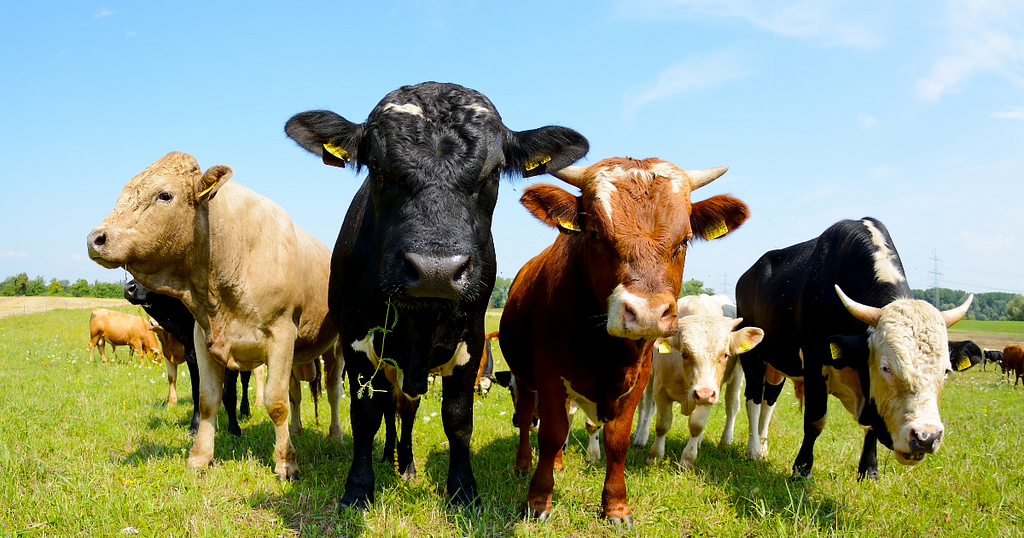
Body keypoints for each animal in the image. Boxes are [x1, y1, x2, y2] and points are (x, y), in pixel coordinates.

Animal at [123, 278, 253, 434]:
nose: (128, 288)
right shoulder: (192, 356)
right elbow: (197, 392)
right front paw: (195, 426)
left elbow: (230, 394)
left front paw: (234, 428)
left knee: (245, 382)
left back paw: (245, 411)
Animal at [284, 80, 589, 508]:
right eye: (377, 167)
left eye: (494, 171)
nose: (435, 270)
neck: (421, 322)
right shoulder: (356, 339)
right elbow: (366, 415)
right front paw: (358, 488)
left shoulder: (472, 342)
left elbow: (458, 419)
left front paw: (462, 489)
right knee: (391, 408)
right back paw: (390, 457)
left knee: (407, 409)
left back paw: (406, 464)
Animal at [499, 157, 749, 524]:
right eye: (594, 233)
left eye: (685, 240)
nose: (647, 313)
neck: (603, 346)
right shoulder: (548, 372)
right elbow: (551, 432)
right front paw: (538, 500)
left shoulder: (639, 377)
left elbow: (617, 439)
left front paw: (616, 506)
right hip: (523, 376)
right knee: (529, 413)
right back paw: (522, 464)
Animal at [737, 217, 966, 477]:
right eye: (885, 368)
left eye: (945, 371)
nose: (926, 437)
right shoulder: (815, 364)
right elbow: (815, 421)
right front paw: (801, 469)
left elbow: (871, 427)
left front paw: (869, 470)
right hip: (753, 357)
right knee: (754, 400)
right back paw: (753, 450)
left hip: (778, 365)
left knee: (769, 402)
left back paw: (763, 449)